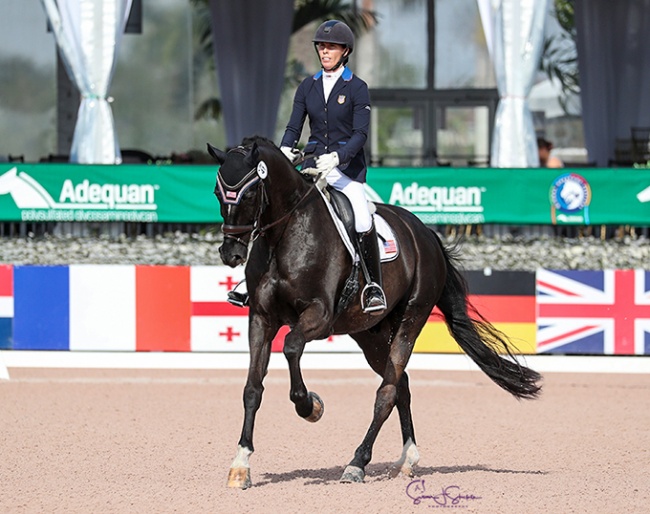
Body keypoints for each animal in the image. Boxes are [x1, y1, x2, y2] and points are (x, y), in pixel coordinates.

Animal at [208, 136, 540, 488]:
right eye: (217, 193)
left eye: (249, 194)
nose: (231, 253)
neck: (284, 235)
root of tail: (426, 233)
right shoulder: (261, 319)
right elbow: (252, 388)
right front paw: (241, 464)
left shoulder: (319, 315)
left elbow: (292, 347)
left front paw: (310, 406)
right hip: (369, 333)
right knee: (400, 384)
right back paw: (407, 458)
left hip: (410, 320)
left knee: (387, 391)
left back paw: (357, 463)